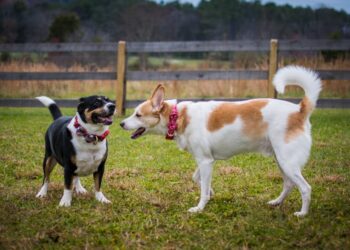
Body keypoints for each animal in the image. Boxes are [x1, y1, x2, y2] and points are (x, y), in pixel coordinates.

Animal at [121, 65, 322, 216]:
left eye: (138, 114)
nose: (121, 123)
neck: (177, 116)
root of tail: (299, 110)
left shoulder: (205, 161)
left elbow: (202, 190)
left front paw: (199, 208)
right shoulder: (205, 160)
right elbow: (198, 179)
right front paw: (211, 192)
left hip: (287, 161)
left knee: (305, 188)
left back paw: (302, 214)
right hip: (281, 160)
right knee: (289, 184)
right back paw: (276, 202)